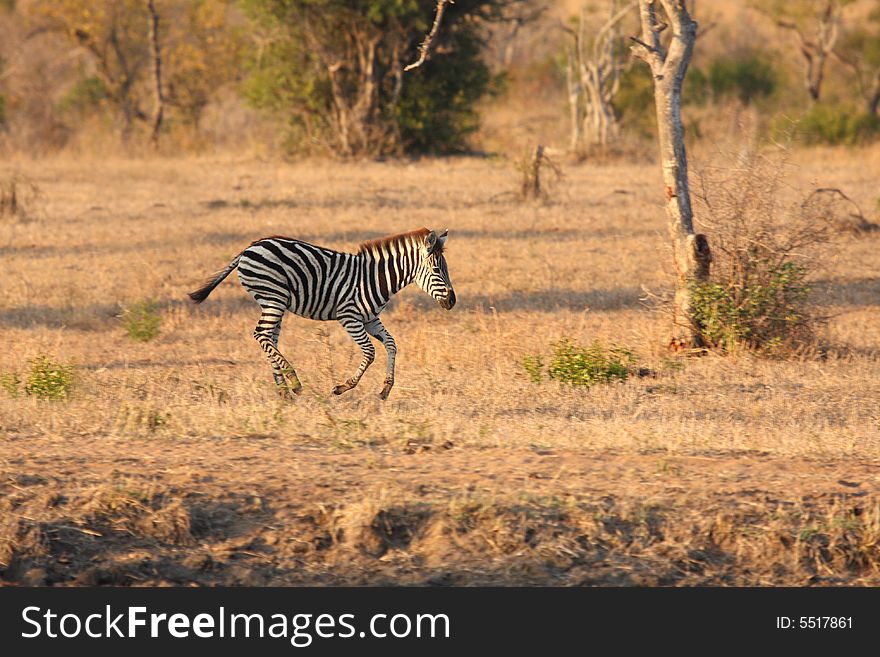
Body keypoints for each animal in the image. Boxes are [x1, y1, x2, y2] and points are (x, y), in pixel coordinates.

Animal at [190, 226, 458, 400]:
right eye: (437, 270)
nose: (453, 301)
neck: (376, 278)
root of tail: (250, 247)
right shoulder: (349, 317)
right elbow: (370, 353)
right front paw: (344, 387)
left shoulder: (371, 319)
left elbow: (391, 344)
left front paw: (385, 389)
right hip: (273, 296)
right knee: (261, 335)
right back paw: (294, 381)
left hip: (273, 301)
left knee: (269, 338)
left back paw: (283, 389)